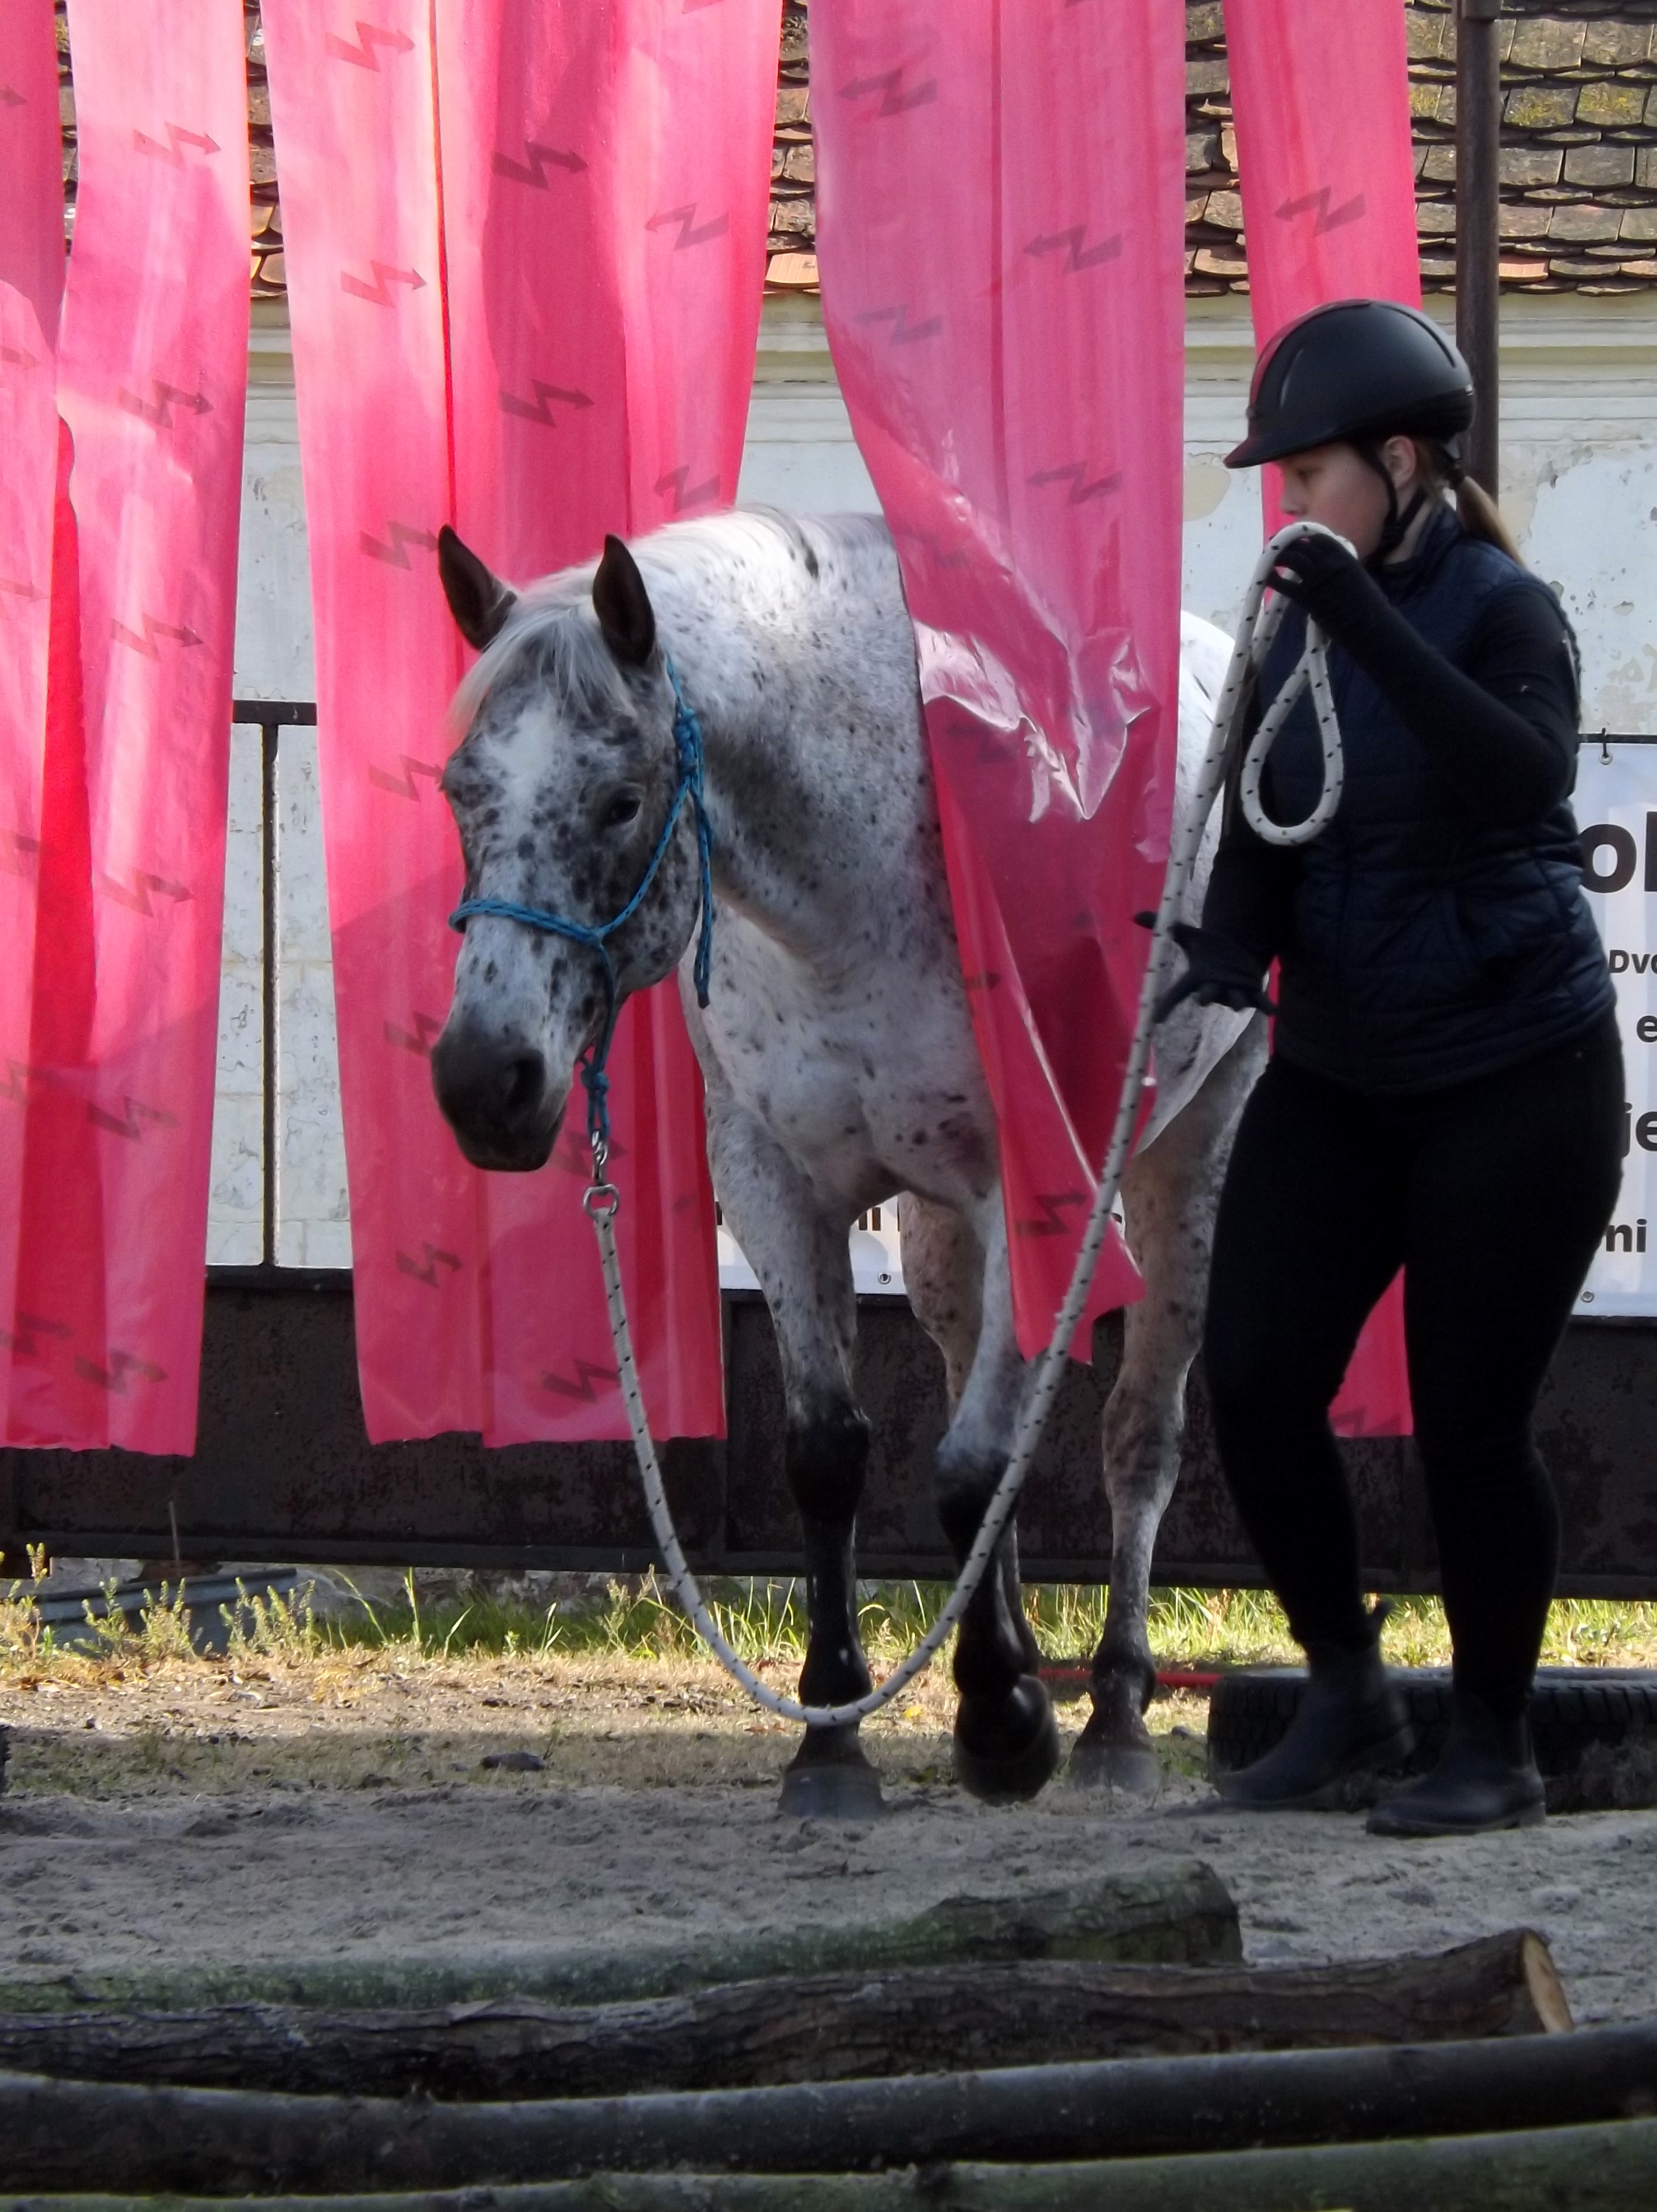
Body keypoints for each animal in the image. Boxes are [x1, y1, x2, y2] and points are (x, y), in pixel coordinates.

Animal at [429, 513, 1265, 1814]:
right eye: (460, 788)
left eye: (622, 800)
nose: (483, 1081)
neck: (849, 894)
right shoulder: (773, 1181)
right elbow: (831, 1455)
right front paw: (833, 1734)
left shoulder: (1022, 1191)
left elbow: (972, 1468)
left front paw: (1004, 1720)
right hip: (938, 1233)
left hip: (1185, 1162)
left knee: (1137, 1434)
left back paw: (1114, 1714)